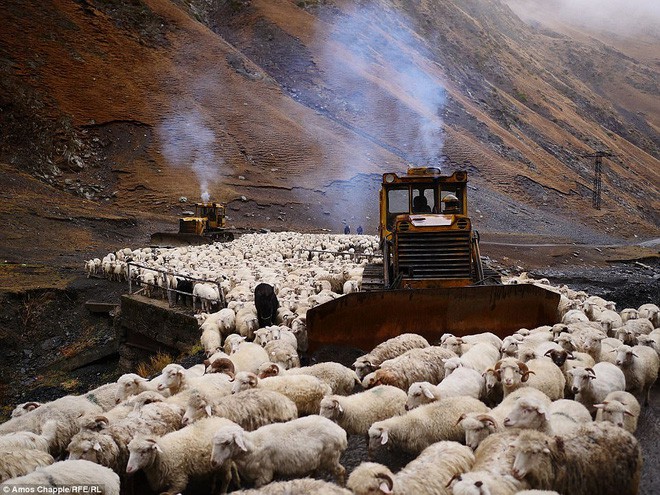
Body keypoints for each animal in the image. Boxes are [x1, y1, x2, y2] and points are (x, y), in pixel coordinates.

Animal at [211, 414, 348, 488]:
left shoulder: (264, 475)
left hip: (330, 457)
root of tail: (341, 433)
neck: (253, 445)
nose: (213, 462)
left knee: (341, 471)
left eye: (227, 442)